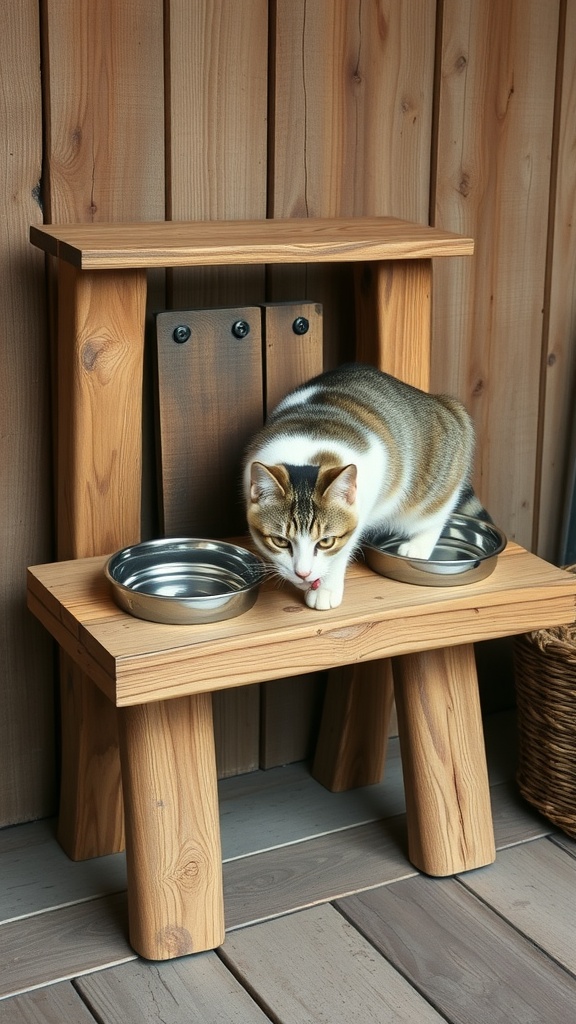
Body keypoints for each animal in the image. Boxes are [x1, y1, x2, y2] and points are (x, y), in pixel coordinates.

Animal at [238, 364, 483, 610]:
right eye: (280, 541)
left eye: (326, 541)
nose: (303, 573)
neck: (307, 453)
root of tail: (444, 404)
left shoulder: (362, 505)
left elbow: (343, 549)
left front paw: (326, 588)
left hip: (433, 486)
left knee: (435, 514)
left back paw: (418, 546)